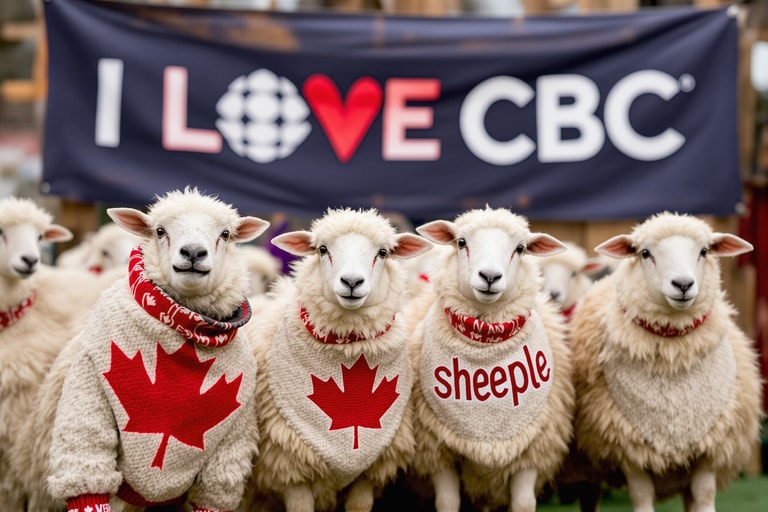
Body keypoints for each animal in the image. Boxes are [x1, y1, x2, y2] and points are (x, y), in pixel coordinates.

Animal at [45, 187, 270, 512]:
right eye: (160, 231)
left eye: (225, 234)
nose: (193, 252)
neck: (185, 331)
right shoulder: (90, 391)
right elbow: (86, 449)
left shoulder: (233, 434)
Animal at [238, 207, 433, 512]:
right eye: (322, 249)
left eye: (383, 252)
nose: (352, 282)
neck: (348, 350)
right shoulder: (289, 468)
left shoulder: (371, 472)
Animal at [408, 206, 575, 512]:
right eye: (461, 242)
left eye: (520, 249)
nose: (489, 277)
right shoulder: (437, 451)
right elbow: (447, 502)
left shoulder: (533, 449)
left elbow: (524, 504)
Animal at [568, 211, 763, 512]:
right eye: (645, 253)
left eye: (704, 251)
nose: (683, 284)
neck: (673, 358)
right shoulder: (630, 449)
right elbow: (641, 497)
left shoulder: (709, 449)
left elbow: (704, 497)